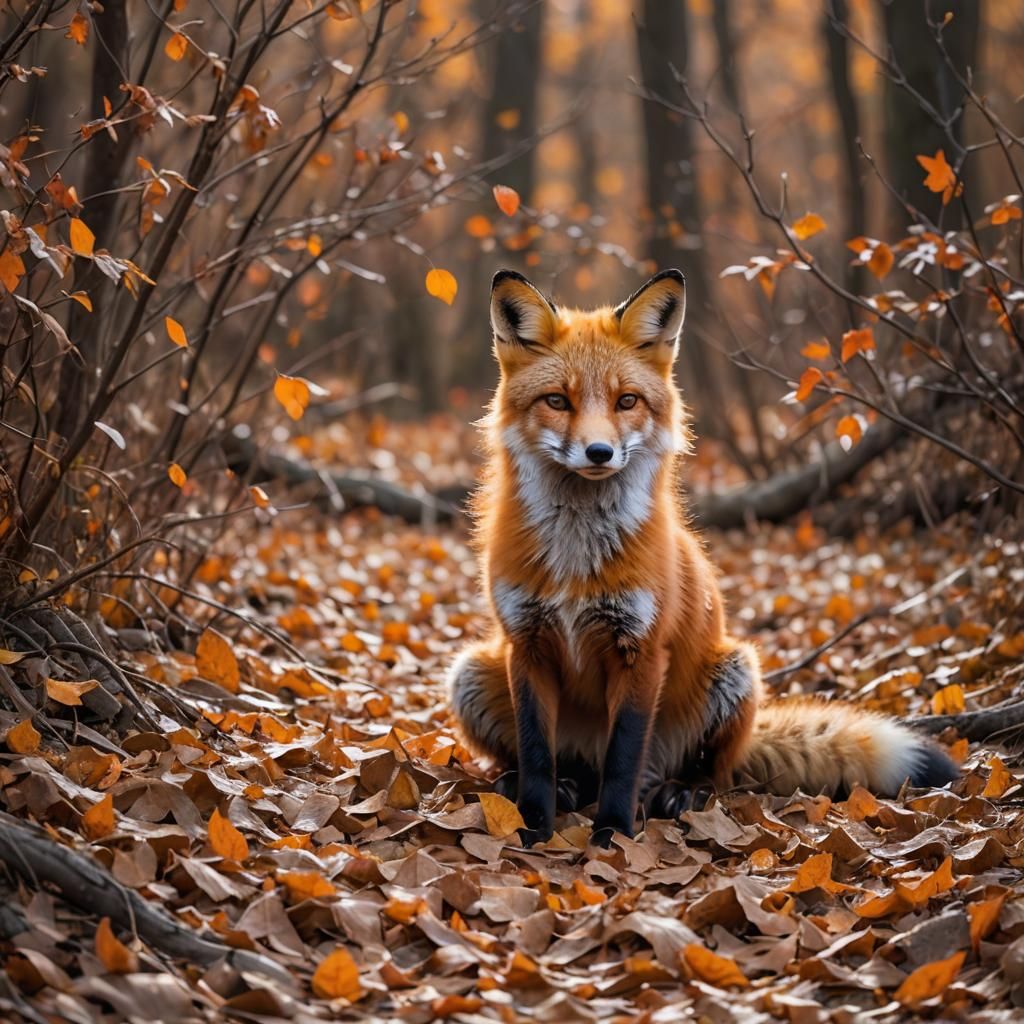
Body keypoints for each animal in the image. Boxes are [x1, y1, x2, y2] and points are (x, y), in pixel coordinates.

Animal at [448, 267, 959, 846]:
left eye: (627, 401)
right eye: (557, 401)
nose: (599, 452)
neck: (577, 562)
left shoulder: (642, 651)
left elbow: (623, 760)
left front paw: (612, 834)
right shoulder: (526, 645)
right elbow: (536, 754)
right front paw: (534, 826)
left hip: (735, 670)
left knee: (709, 773)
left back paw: (683, 792)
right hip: (470, 672)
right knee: (559, 763)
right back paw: (553, 786)